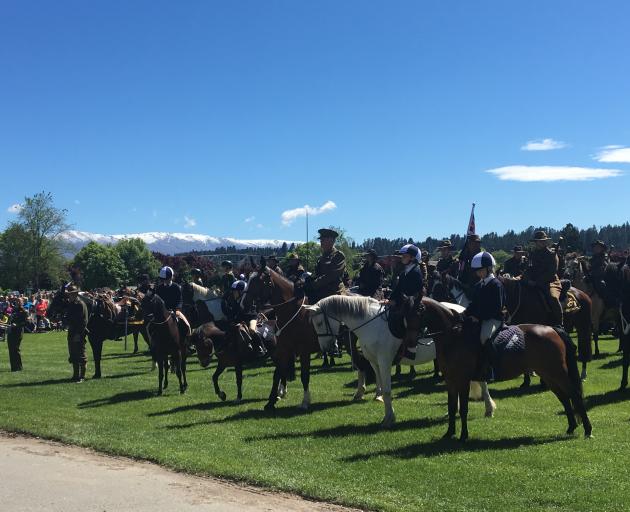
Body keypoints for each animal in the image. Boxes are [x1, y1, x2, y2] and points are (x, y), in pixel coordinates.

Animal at [306, 294, 498, 430]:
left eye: (320, 322)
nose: (326, 348)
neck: (370, 324)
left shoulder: (384, 361)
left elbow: (387, 390)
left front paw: (390, 419)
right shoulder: (375, 363)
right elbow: (381, 387)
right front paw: (384, 413)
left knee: (482, 382)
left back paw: (489, 409)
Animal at [404, 298, 592, 442]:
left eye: (417, 313)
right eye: (405, 314)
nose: (410, 344)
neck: (453, 336)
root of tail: (552, 329)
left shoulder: (463, 380)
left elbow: (463, 408)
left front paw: (463, 436)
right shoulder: (450, 380)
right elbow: (452, 408)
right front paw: (449, 433)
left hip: (557, 373)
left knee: (574, 394)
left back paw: (588, 430)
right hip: (549, 375)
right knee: (564, 397)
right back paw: (571, 427)